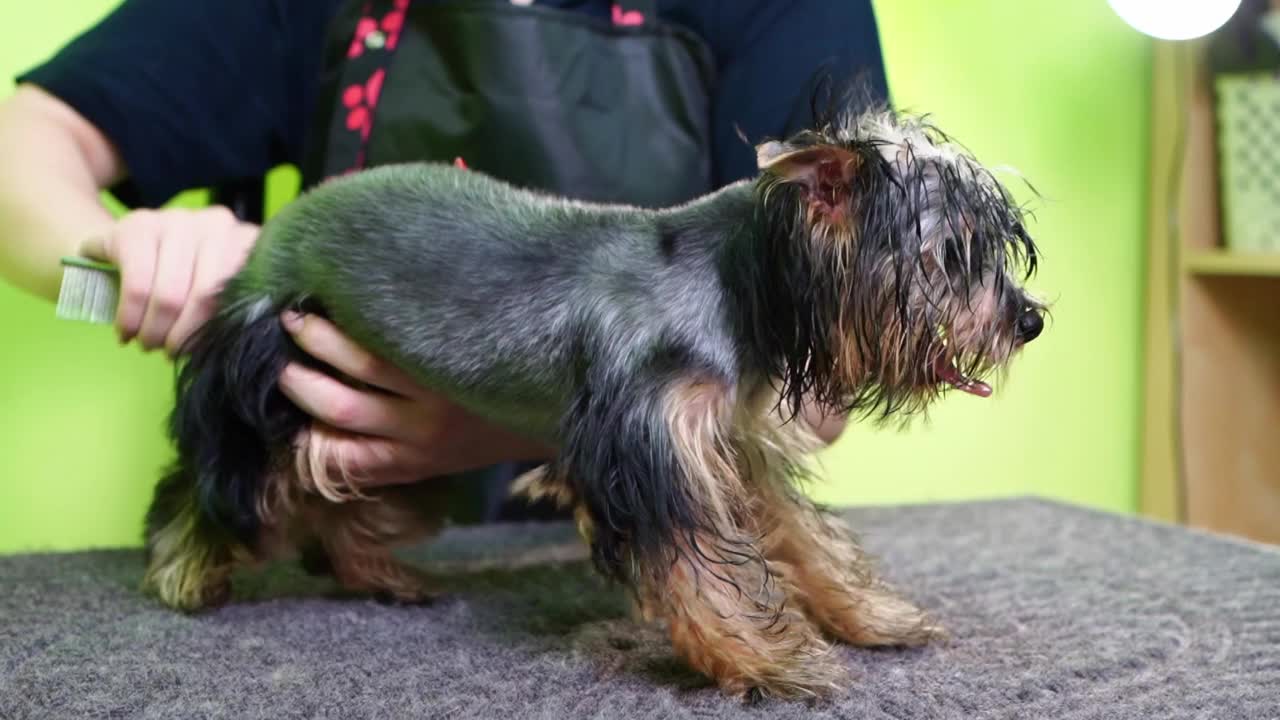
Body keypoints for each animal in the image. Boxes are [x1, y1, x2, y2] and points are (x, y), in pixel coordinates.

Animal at [140, 92, 1044, 696]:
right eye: (953, 257)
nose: (1029, 319)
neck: (733, 279)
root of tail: (271, 239)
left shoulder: (725, 439)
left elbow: (797, 534)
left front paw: (866, 619)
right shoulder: (648, 439)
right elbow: (697, 563)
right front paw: (767, 660)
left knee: (329, 479)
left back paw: (377, 574)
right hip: (269, 357)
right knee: (227, 477)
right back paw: (186, 573)